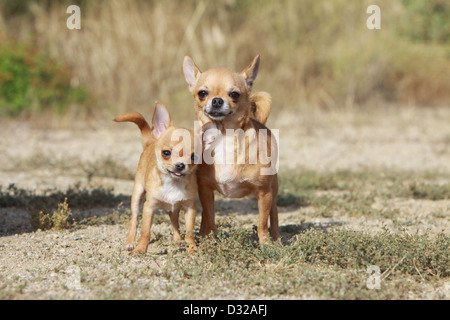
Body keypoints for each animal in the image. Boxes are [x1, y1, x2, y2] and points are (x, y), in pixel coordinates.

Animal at [115, 102, 200, 252]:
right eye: (166, 153)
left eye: (193, 157)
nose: (180, 165)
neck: (173, 182)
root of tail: (150, 143)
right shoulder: (149, 207)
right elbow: (145, 232)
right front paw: (140, 249)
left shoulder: (190, 208)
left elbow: (189, 232)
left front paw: (192, 248)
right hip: (137, 195)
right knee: (134, 220)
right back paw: (130, 242)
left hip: (174, 207)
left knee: (174, 220)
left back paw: (178, 240)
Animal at [182, 56, 280, 244]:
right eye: (202, 93)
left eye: (234, 94)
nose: (217, 100)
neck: (223, 136)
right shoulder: (205, 190)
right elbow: (210, 218)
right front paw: (210, 241)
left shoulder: (264, 193)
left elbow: (262, 224)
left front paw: (265, 244)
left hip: (273, 188)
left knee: (274, 213)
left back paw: (277, 239)